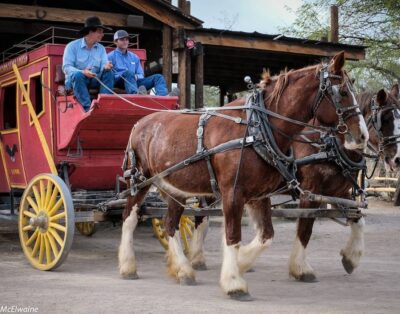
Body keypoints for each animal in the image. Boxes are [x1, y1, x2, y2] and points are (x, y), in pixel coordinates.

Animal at [117, 52, 368, 302]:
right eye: (342, 92)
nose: (362, 136)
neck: (257, 129)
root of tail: (140, 123)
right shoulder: (235, 192)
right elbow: (234, 235)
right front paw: (234, 282)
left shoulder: (261, 195)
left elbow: (267, 235)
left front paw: (242, 263)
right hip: (139, 181)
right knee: (129, 217)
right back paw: (128, 266)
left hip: (176, 189)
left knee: (170, 225)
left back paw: (183, 270)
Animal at [290, 84, 400, 282]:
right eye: (385, 119)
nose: (398, 159)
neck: (328, 146)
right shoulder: (309, 193)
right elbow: (305, 228)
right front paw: (301, 269)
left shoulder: (339, 192)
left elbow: (358, 218)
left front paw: (351, 258)